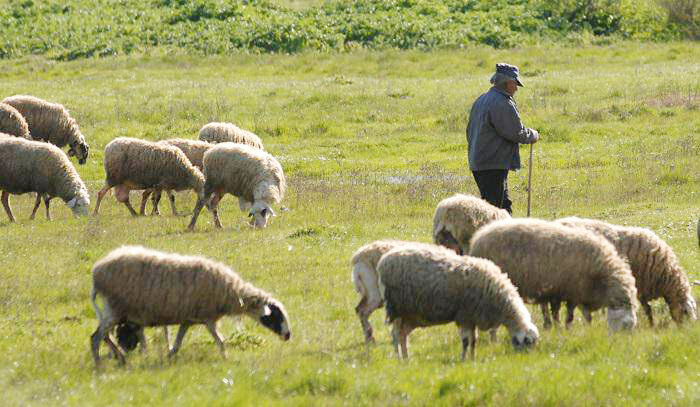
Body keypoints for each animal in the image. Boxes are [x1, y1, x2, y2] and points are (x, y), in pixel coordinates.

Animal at [91, 245, 292, 366]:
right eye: (276, 315)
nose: (288, 335)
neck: (231, 292)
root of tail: (97, 271)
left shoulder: (188, 319)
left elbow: (178, 342)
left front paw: (169, 357)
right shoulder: (208, 319)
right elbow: (220, 341)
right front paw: (226, 358)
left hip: (115, 311)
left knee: (104, 336)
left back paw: (118, 357)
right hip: (115, 309)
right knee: (96, 337)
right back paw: (100, 364)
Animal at [374, 242, 540, 360]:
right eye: (528, 343)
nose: (524, 358)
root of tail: (383, 261)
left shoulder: (472, 317)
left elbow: (474, 341)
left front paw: (473, 359)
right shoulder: (464, 316)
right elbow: (466, 341)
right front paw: (463, 359)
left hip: (411, 315)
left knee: (403, 335)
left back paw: (407, 358)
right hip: (397, 308)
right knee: (395, 334)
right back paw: (399, 359)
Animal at [468, 218, 636, 334]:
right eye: (626, 325)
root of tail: (478, 240)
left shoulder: (576, 292)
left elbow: (582, 315)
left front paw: (584, 328)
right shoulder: (568, 291)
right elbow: (566, 314)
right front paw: (565, 328)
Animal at [556, 217, 696, 328]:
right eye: (686, 312)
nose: (688, 330)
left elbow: (647, 308)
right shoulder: (639, 285)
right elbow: (647, 309)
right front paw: (651, 325)